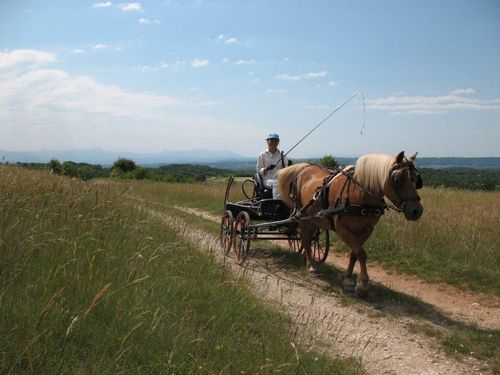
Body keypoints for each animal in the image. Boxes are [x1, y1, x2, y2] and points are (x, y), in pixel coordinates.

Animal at [278, 151, 422, 298]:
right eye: (398, 179)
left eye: (415, 178)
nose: (416, 210)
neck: (359, 193)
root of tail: (304, 168)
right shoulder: (342, 229)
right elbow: (361, 253)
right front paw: (362, 284)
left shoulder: (367, 230)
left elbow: (355, 253)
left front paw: (348, 280)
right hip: (302, 215)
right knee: (305, 238)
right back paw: (311, 267)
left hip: (314, 217)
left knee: (309, 237)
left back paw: (309, 261)